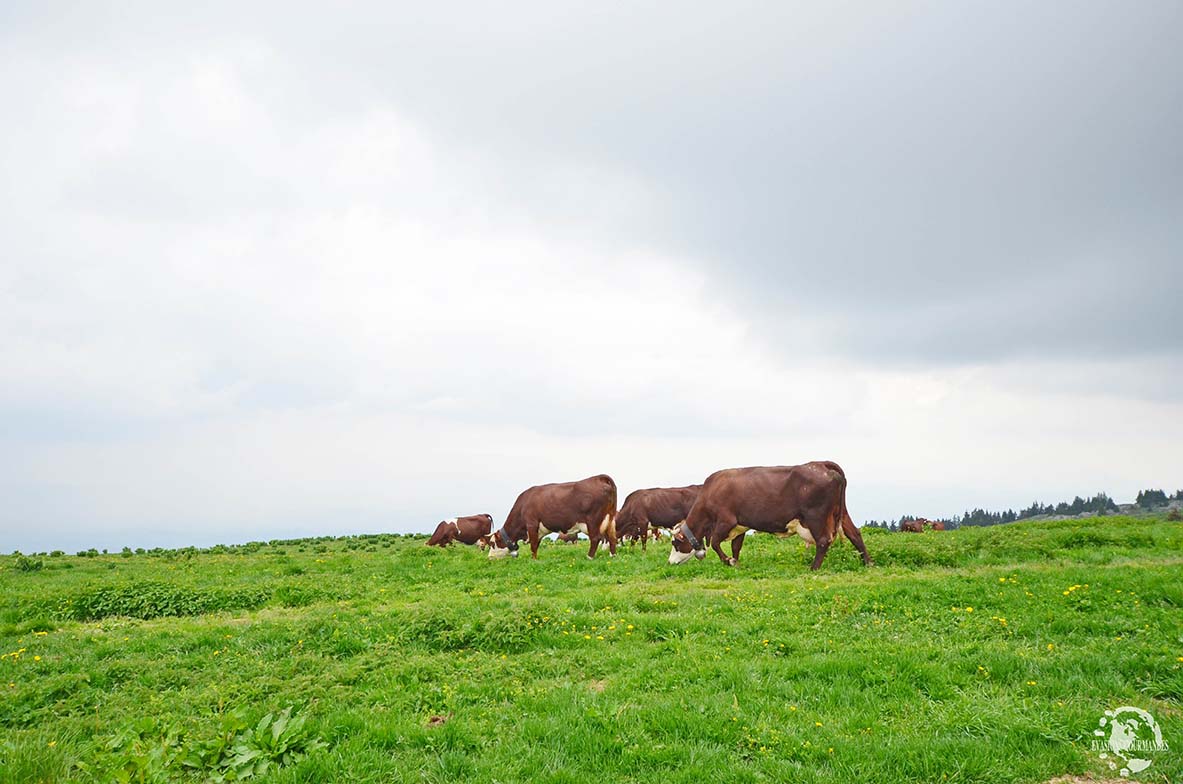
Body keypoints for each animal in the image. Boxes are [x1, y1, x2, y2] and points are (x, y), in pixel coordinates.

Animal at [487, 475, 619, 560]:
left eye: (493, 543)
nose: (489, 557)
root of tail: (599, 478)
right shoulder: (538, 530)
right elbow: (537, 543)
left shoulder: (531, 523)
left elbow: (533, 544)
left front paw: (533, 560)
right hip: (610, 519)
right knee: (612, 538)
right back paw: (612, 556)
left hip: (593, 520)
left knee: (595, 538)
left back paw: (589, 557)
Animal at [671, 463, 875, 574]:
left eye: (675, 543)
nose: (670, 562)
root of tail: (821, 464)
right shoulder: (740, 525)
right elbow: (736, 546)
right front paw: (735, 562)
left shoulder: (725, 520)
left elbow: (714, 543)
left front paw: (728, 561)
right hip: (841, 513)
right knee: (854, 534)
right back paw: (868, 563)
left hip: (815, 517)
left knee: (824, 541)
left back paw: (813, 568)